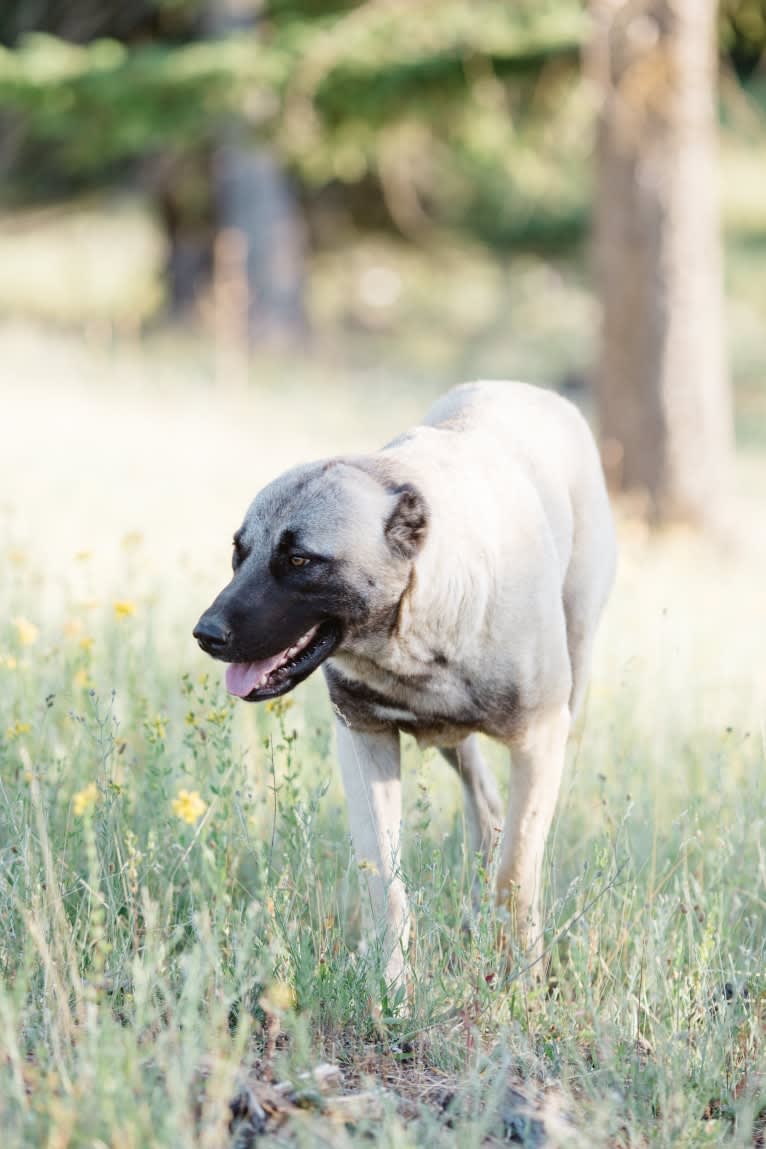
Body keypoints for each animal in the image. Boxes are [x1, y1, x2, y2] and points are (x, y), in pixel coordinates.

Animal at [192, 381, 615, 983]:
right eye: (239, 552)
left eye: (299, 560)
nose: (206, 635)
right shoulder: (364, 741)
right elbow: (384, 879)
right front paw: (391, 978)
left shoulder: (538, 740)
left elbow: (517, 871)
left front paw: (521, 975)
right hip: (455, 742)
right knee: (485, 806)